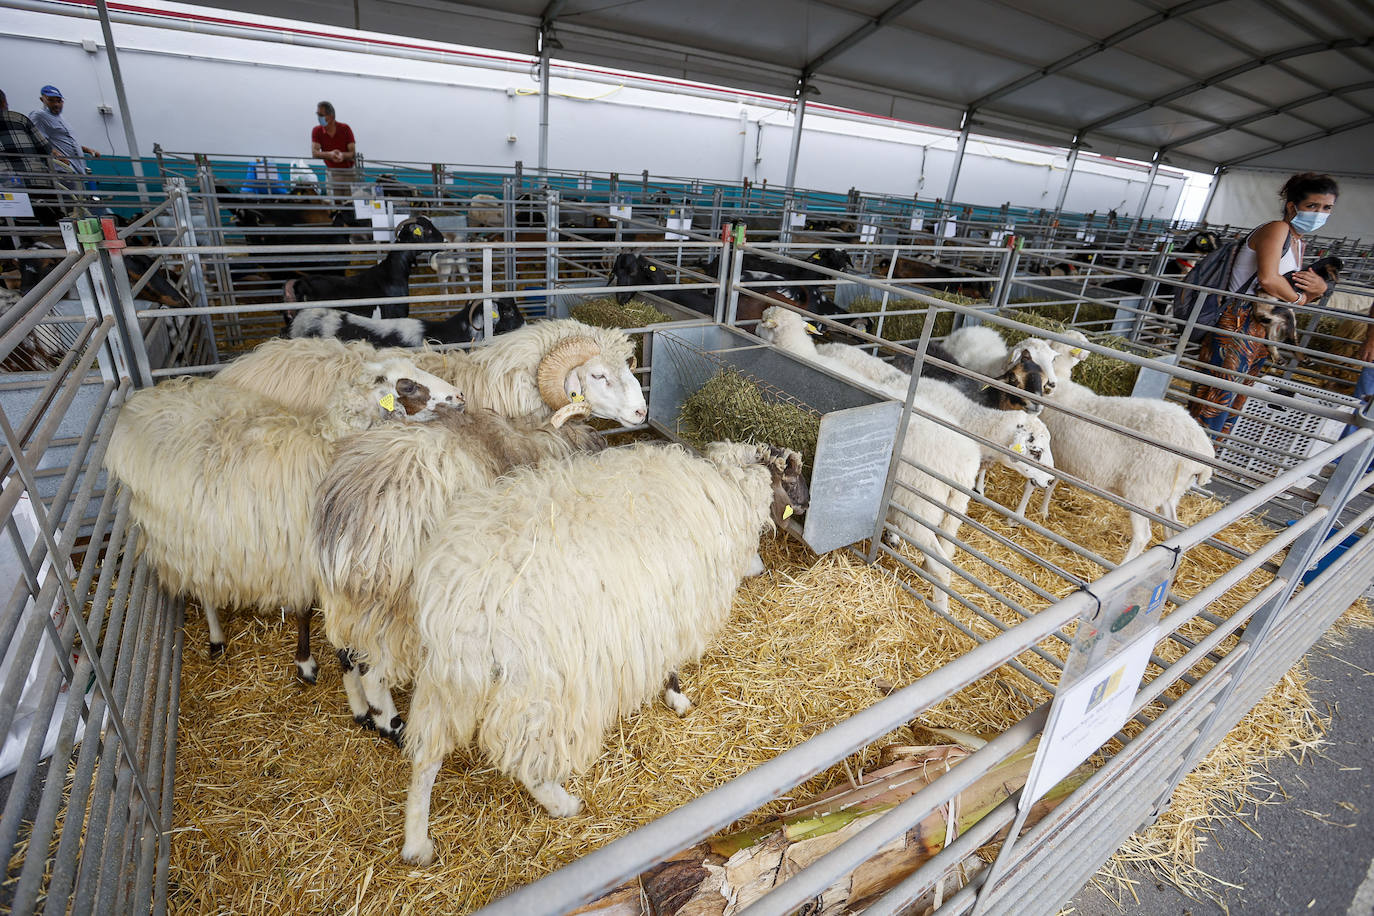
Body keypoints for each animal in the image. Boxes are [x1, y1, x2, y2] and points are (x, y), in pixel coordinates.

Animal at [105, 368, 461, 681]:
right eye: (408, 385)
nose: (459, 397)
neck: (324, 450)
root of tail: (142, 398)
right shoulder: (299, 556)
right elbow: (303, 611)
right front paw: (305, 663)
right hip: (181, 535)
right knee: (202, 586)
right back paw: (216, 638)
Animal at [318, 403, 610, 747]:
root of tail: (352, 520)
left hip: (342, 604)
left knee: (346, 655)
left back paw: (362, 712)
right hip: (393, 610)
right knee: (372, 670)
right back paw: (392, 726)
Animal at [398, 439, 802, 862]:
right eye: (792, 481)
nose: (760, 567)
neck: (721, 492)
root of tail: (459, 601)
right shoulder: (670, 612)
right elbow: (671, 667)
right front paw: (677, 698)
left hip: (447, 683)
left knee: (425, 757)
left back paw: (416, 844)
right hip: (540, 690)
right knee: (527, 762)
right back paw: (563, 804)